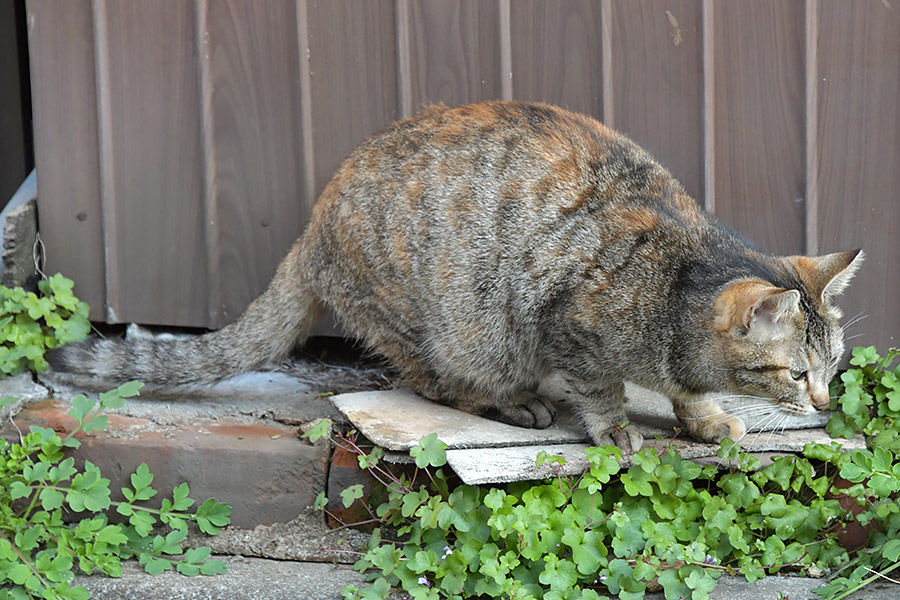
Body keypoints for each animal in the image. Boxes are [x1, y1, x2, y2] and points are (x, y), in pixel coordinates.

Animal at [51, 102, 864, 450]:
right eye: (797, 375)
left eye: (835, 367)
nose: (825, 403)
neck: (675, 286)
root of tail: (314, 226)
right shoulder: (568, 326)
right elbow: (602, 393)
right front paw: (617, 431)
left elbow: (689, 392)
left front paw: (702, 417)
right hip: (461, 328)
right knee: (433, 381)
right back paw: (515, 403)